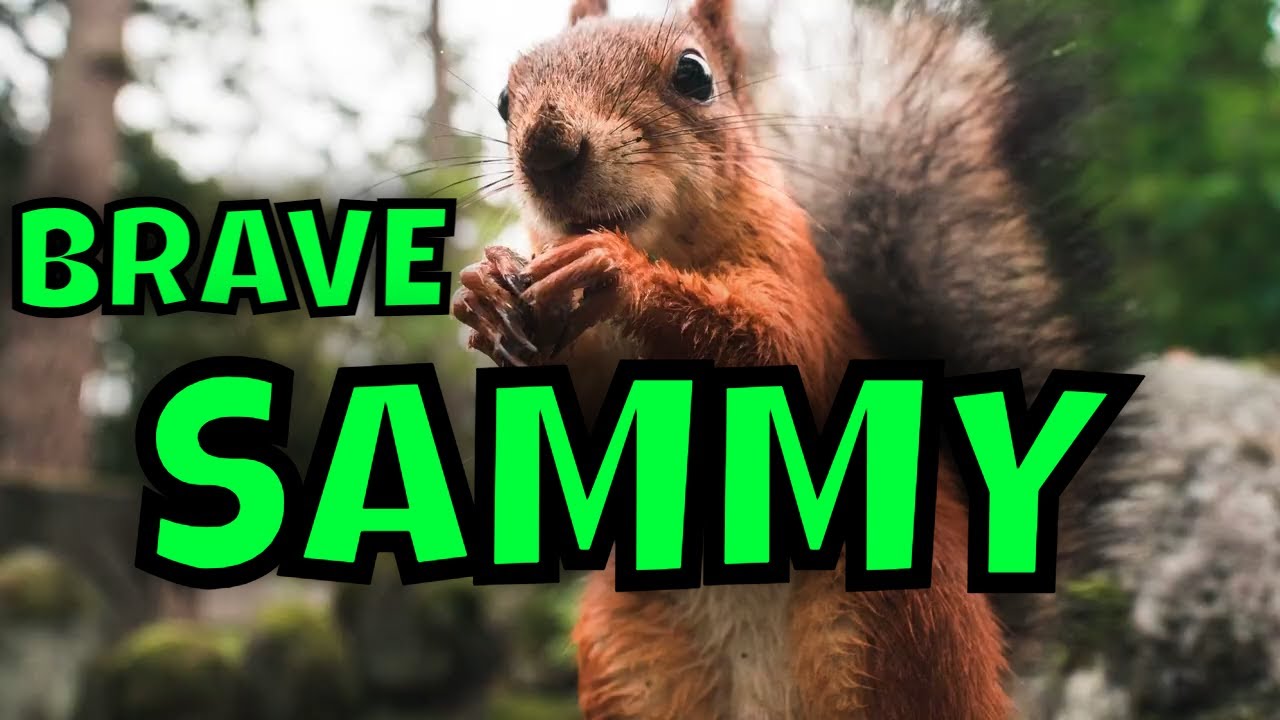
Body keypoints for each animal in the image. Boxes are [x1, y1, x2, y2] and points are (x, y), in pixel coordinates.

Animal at [451, 0, 1123, 717]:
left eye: (694, 76)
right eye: (503, 101)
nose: (546, 149)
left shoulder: (800, 295)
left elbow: (769, 345)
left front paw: (618, 270)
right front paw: (486, 294)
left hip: (888, 631)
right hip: (634, 657)